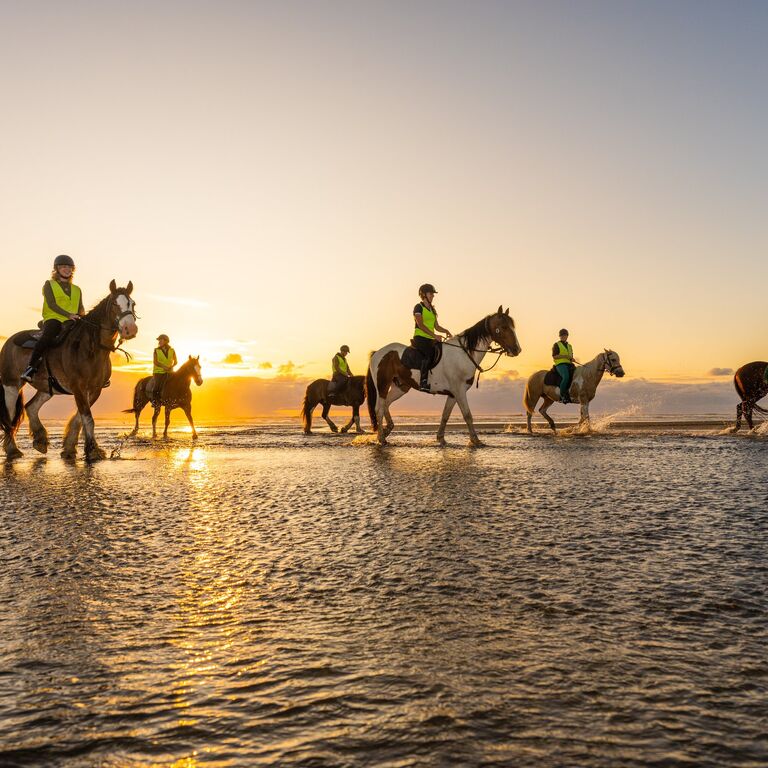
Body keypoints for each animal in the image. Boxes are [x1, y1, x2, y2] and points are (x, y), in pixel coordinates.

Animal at [0, 280, 138, 461]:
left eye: (132, 304)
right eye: (115, 303)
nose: (130, 329)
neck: (91, 347)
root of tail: (10, 341)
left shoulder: (95, 390)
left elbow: (80, 418)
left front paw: (70, 448)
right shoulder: (78, 387)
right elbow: (87, 418)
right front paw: (93, 450)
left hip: (47, 388)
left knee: (31, 407)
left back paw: (40, 440)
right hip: (11, 385)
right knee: (9, 416)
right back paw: (13, 450)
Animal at [367, 307, 521, 446]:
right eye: (504, 327)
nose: (517, 350)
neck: (464, 353)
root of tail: (377, 353)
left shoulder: (453, 394)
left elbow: (445, 415)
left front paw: (441, 438)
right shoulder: (459, 391)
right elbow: (467, 415)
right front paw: (475, 440)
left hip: (401, 387)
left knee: (386, 404)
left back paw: (387, 430)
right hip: (382, 384)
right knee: (379, 408)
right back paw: (381, 438)